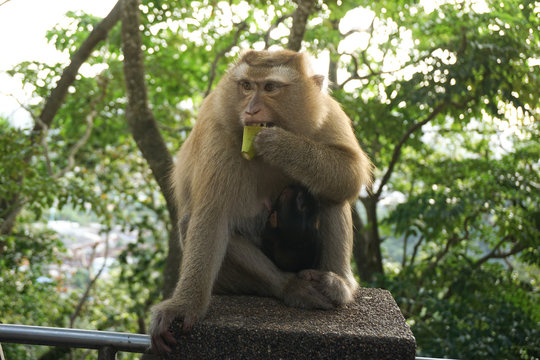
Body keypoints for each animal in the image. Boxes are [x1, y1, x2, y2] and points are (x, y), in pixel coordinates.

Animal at [149, 48, 372, 354]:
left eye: (270, 88)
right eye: (246, 86)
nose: (251, 110)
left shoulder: (328, 114)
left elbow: (349, 173)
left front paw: (281, 145)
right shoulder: (217, 130)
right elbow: (212, 218)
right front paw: (183, 306)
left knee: (332, 197)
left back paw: (337, 285)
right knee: (192, 224)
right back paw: (289, 287)